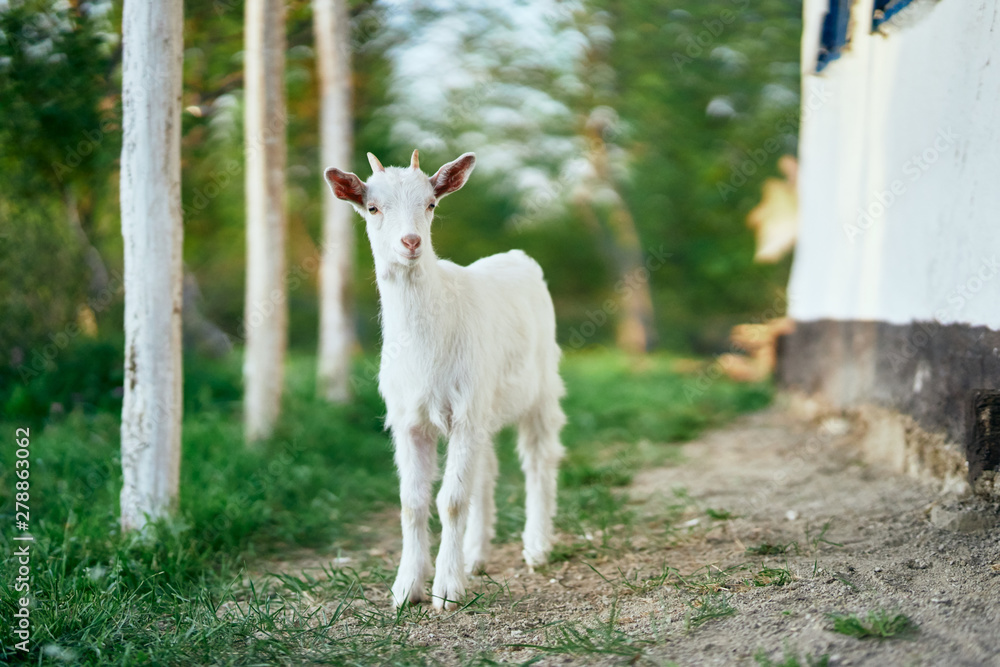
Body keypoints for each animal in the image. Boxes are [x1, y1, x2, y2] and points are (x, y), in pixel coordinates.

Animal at [324, 149, 566, 611]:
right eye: (372, 207)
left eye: (431, 204)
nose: (410, 243)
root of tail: (516, 256)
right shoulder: (410, 419)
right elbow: (412, 502)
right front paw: (406, 588)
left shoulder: (465, 411)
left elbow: (451, 500)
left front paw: (448, 590)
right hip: (487, 404)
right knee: (486, 471)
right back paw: (476, 555)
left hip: (541, 385)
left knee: (539, 459)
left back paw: (536, 547)